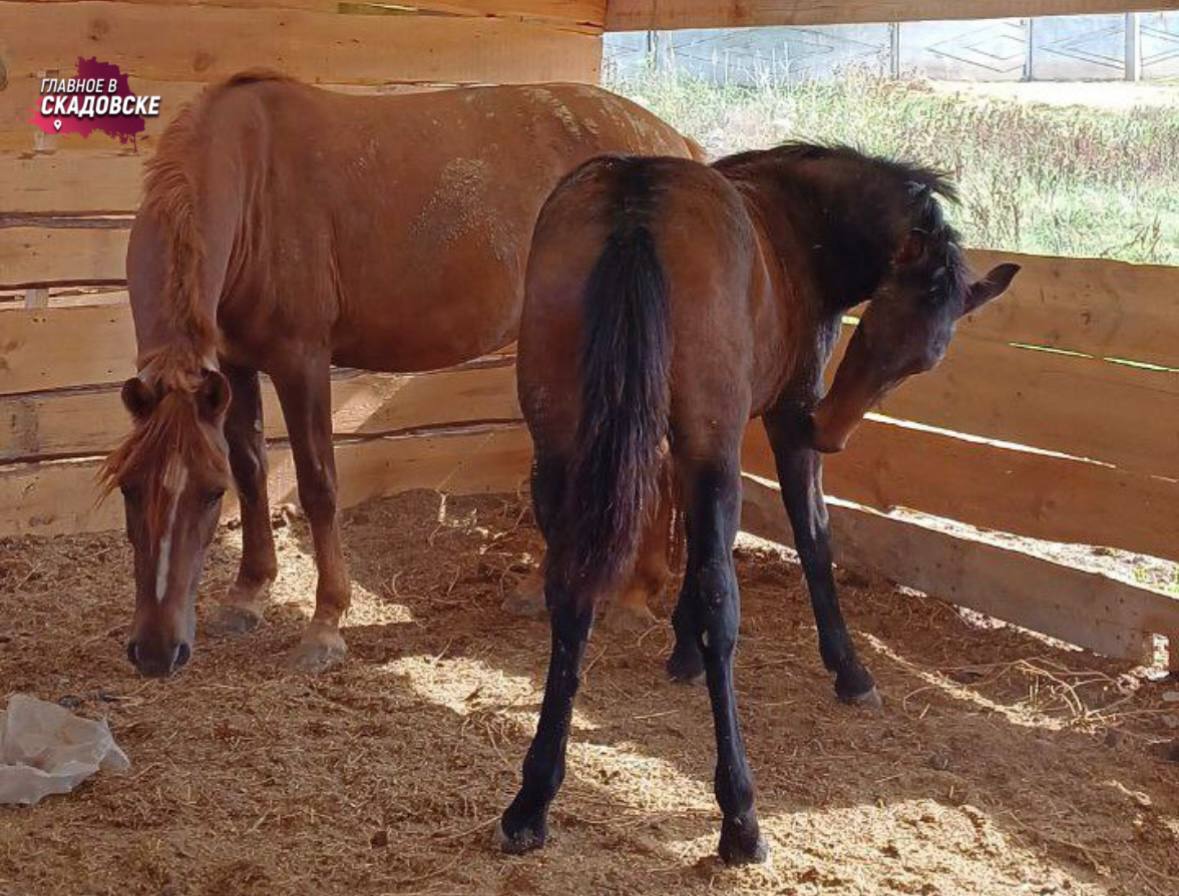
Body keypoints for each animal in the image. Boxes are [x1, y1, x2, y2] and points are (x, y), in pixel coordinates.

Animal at [101, 73, 693, 674]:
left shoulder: (301, 361)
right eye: (129, 487)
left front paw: (326, 623)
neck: (254, 184)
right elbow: (251, 469)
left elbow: (318, 486)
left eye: (207, 494)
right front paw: (248, 594)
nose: (157, 652)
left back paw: (636, 596)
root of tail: (675, 142)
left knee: (658, 456)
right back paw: (547, 589)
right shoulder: (234, 363)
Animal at [502, 145, 1018, 862]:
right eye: (876, 325)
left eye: (921, 361)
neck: (795, 218)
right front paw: (849, 670)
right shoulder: (774, 423)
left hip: (560, 450)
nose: (827, 431)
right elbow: (811, 539)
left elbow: (690, 541)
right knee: (725, 602)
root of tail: (637, 198)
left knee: (570, 592)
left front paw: (680, 650)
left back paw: (533, 798)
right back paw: (740, 817)